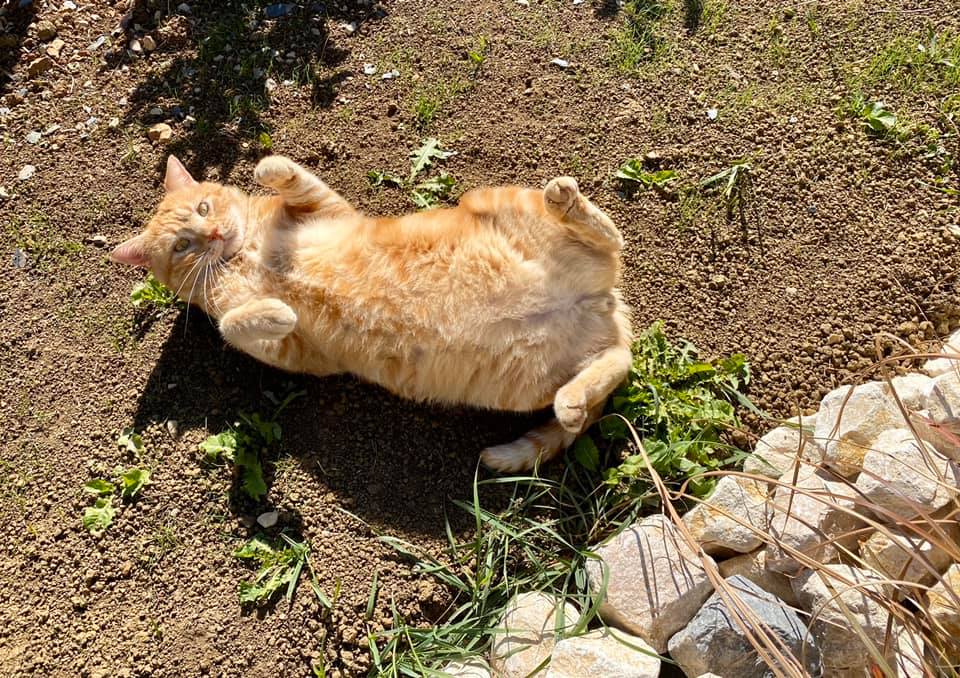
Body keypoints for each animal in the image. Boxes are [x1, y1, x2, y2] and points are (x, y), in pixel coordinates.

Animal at [112, 155, 633, 472]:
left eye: (204, 205)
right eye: (182, 245)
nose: (216, 234)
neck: (245, 252)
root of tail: (601, 303)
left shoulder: (331, 208)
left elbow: (294, 178)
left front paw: (266, 168)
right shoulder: (296, 354)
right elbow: (232, 323)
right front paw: (276, 309)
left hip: (499, 199)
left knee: (612, 239)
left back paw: (565, 198)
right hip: (526, 383)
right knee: (616, 362)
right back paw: (572, 402)